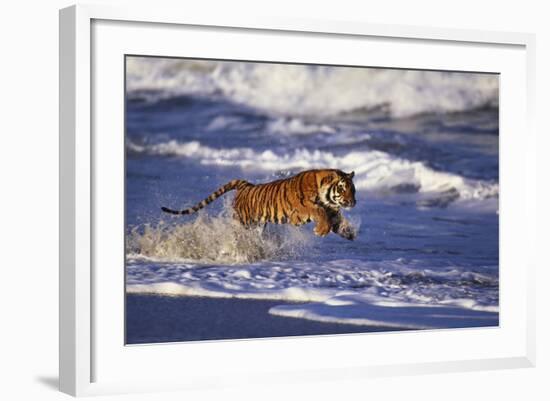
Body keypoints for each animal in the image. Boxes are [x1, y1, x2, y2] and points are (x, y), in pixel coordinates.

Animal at [161, 168, 358, 239]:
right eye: (343, 189)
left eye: (353, 189)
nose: (353, 202)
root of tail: (245, 185)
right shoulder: (300, 211)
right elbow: (318, 212)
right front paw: (321, 230)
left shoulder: (332, 210)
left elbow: (336, 220)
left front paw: (348, 232)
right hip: (242, 221)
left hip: (257, 224)